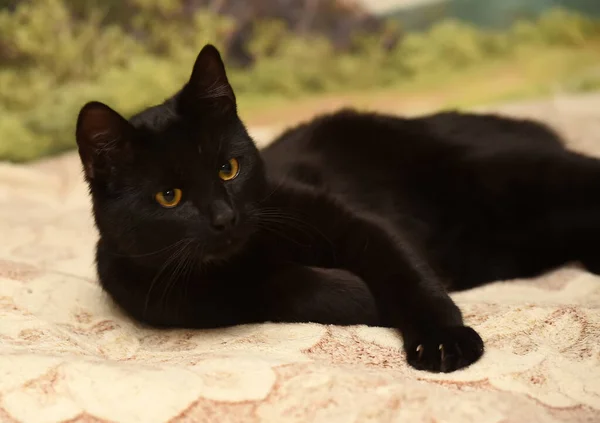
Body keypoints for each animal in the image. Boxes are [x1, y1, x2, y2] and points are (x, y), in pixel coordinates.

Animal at [76, 44, 596, 374]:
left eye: (228, 168)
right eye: (170, 197)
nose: (225, 218)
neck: (248, 255)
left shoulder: (349, 220)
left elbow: (404, 270)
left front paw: (443, 338)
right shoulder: (185, 300)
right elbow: (299, 290)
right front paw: (360, 296)